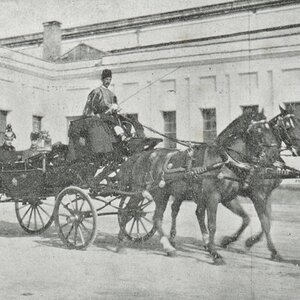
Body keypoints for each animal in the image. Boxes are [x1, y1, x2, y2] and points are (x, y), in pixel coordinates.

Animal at [117, 109, 278, 262]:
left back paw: (167, 247)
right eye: (259, 130)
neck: (223, 160)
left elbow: (252, 219)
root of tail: (141, 156)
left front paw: (222, 244)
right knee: (127, 212)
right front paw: (215, 253)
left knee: (154, 218)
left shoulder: (228, 198)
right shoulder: (213, 197)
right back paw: (121, 243)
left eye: (271, 129)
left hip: (162, 194)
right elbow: (212, 225)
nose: (273, 157)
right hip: (140, 192)